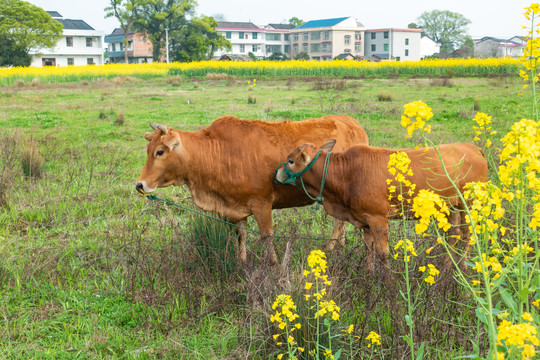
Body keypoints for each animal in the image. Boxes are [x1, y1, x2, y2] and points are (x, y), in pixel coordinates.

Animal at [137, 115, 370, 264]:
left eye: (160, 152)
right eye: (148, 150)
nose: (140, 185)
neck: (217, 151)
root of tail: (352, 122)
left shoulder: (262, 204)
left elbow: (267, 237)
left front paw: (274, 266)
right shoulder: (236, 207)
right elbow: (241, 236)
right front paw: (242, 263)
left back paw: (330, 249)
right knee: (341, 222)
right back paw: (338, 247)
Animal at [276, 139, 488, 272]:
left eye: (290, 160)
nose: (277, 173)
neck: (346, 173)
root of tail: (473, 148)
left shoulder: (378, 219)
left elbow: (383, 254)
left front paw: (386, 282)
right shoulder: (364, 221)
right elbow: (369, 250)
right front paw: (369, 274)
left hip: (469, 206)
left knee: (469, 235)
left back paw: (463, 267)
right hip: (452, 207)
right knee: (455, 234)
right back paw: (447, 267)